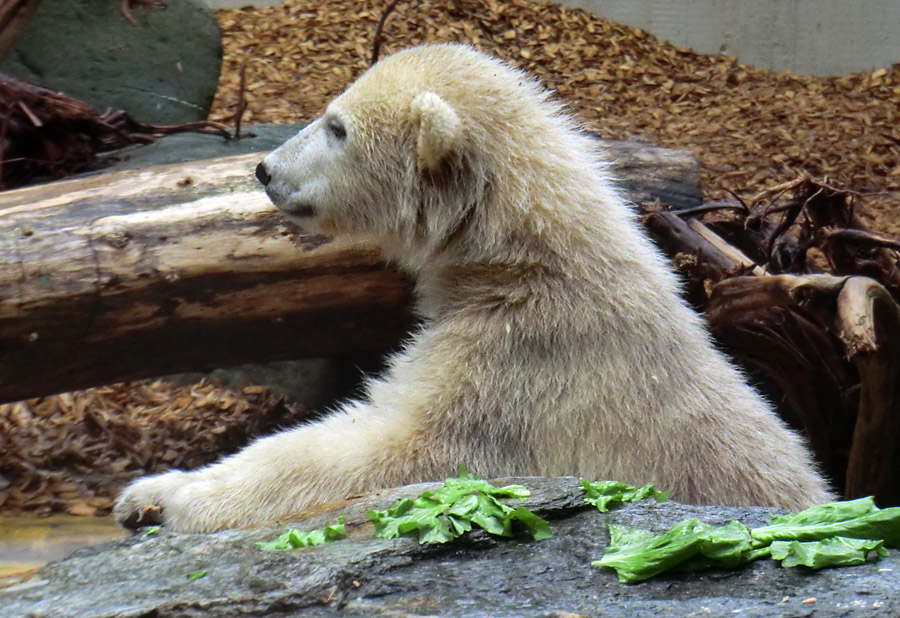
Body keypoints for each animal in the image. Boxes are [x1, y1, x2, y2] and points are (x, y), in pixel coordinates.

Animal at [116, 44, 832, 528]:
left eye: (337, 126)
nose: (265, 169)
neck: (522, 262)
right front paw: (148, 490)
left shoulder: (522, 366)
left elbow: (396, 451)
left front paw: (178, 500)